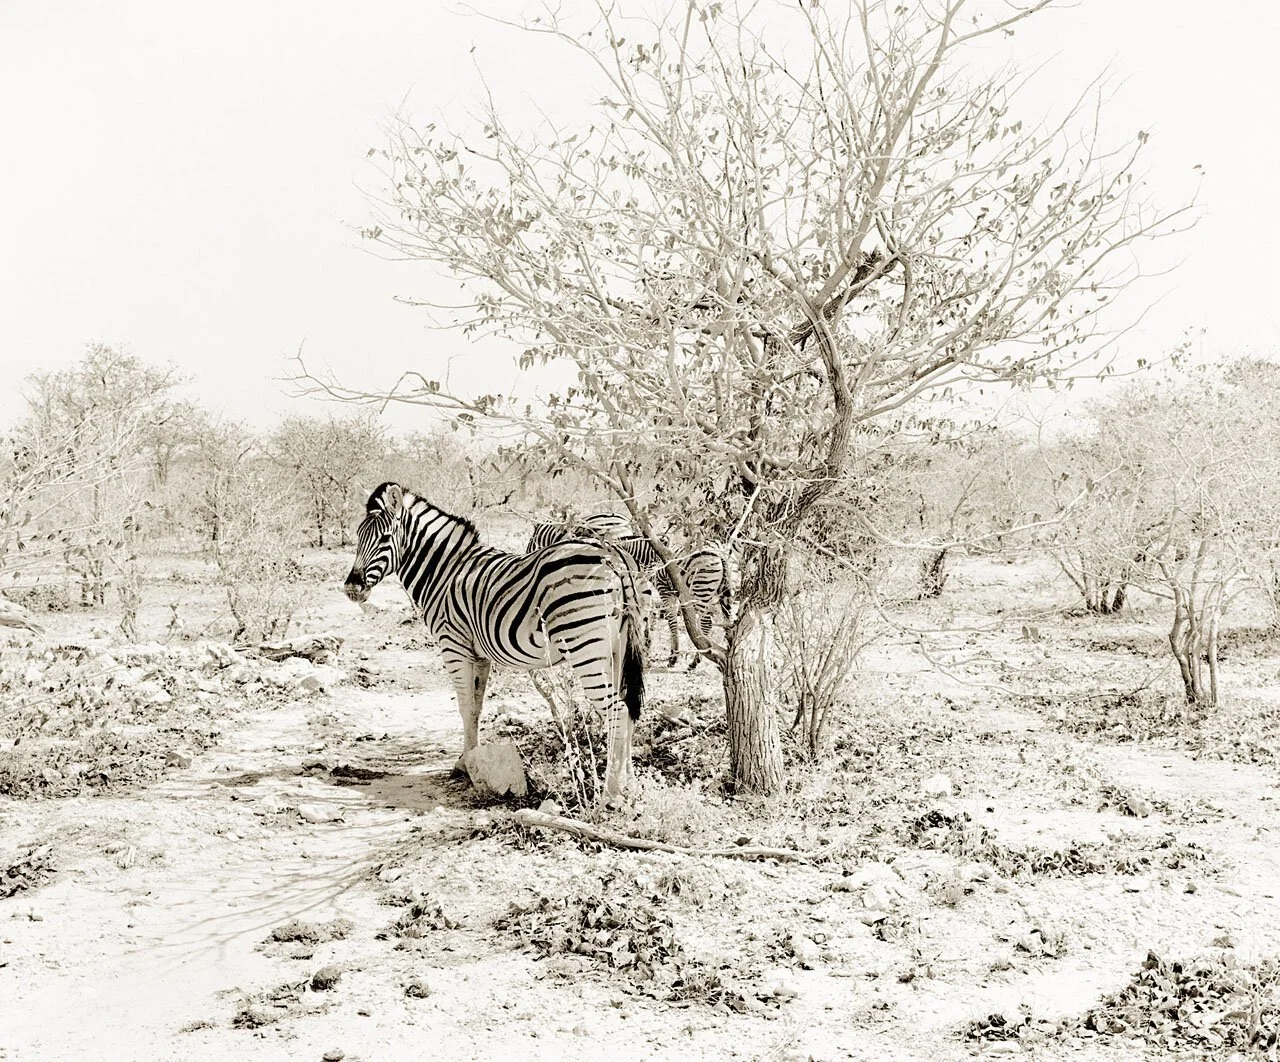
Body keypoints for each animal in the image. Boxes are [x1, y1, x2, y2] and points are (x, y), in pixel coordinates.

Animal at [344, 483, 646, 803]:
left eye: (385, 538)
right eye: (358, 536)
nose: (351, 588)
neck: (443, 573)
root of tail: (614, 555)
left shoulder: (453, 646)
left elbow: (464, 706)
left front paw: (463, 765)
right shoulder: (480, 655)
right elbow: (476, 707)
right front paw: (469, 760)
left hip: (584, 646)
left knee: (617, 711)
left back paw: (610, 793)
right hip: (618, 648)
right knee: (628, 708)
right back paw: (630, 785)